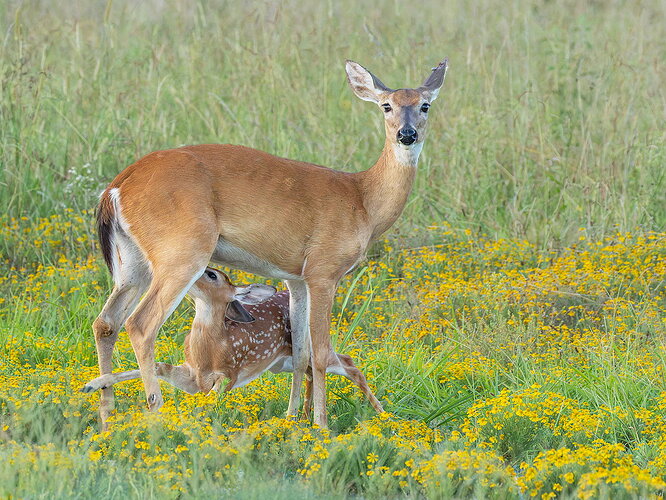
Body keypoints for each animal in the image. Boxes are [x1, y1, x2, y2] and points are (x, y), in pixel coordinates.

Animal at [82, 267, 384, 418]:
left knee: (349, 363)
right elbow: (158, 366)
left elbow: (214, 393)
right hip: (282, 362)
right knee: (312, 372)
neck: (210, 349)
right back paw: (306, 414)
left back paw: (382, 415)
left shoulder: (230, 373)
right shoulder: (191, 376)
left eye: (212, 274)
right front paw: (93, 384)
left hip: (311, 350)